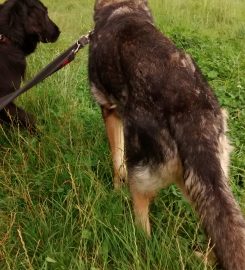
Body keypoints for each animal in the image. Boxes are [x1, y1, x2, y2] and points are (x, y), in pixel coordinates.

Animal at [89, 1, 245, 268]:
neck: (124, 7)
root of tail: (190, 107)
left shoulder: (110, 112)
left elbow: (116, 160)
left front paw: (115, 189)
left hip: (145, 172)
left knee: (142, 215)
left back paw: (138, 239)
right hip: (202, 178)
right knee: (221, 224)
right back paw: (203, 257)